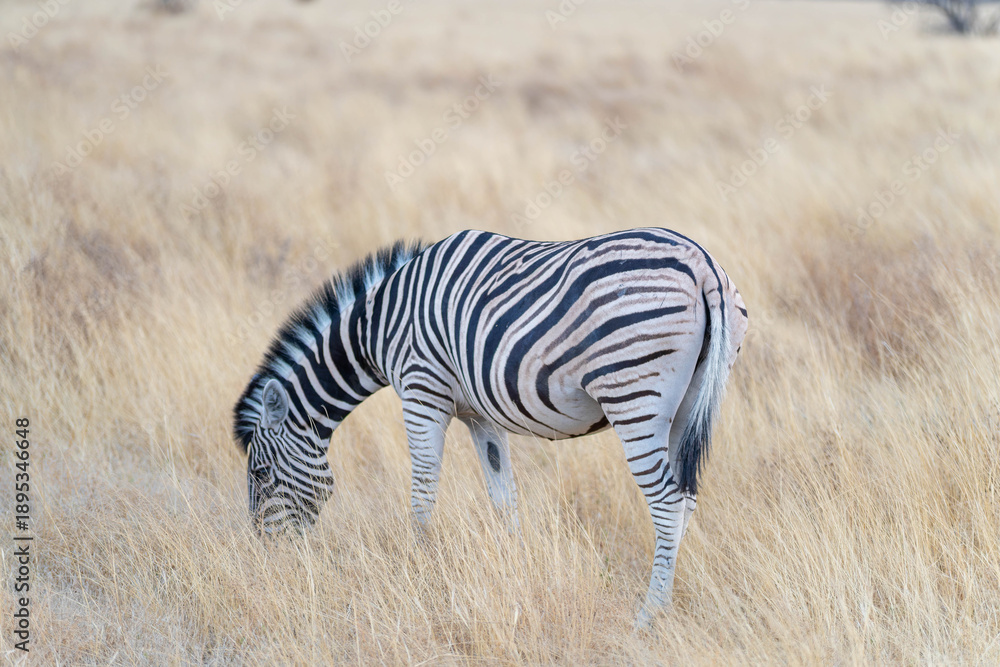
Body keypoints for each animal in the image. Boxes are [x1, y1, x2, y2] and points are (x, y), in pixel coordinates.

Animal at [233, 227, 748, 626]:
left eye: (260, 474)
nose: (267, 560)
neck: (378, 325)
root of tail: (702, 265)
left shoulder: (422, 390)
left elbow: (423, 491)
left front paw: (419, 572)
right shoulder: (479, 414)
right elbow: (503, 496)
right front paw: (518, 571)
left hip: (633, 394)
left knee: (667, 501)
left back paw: (649, 614)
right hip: (689, 404)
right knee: (686, 498)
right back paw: (673, 596)